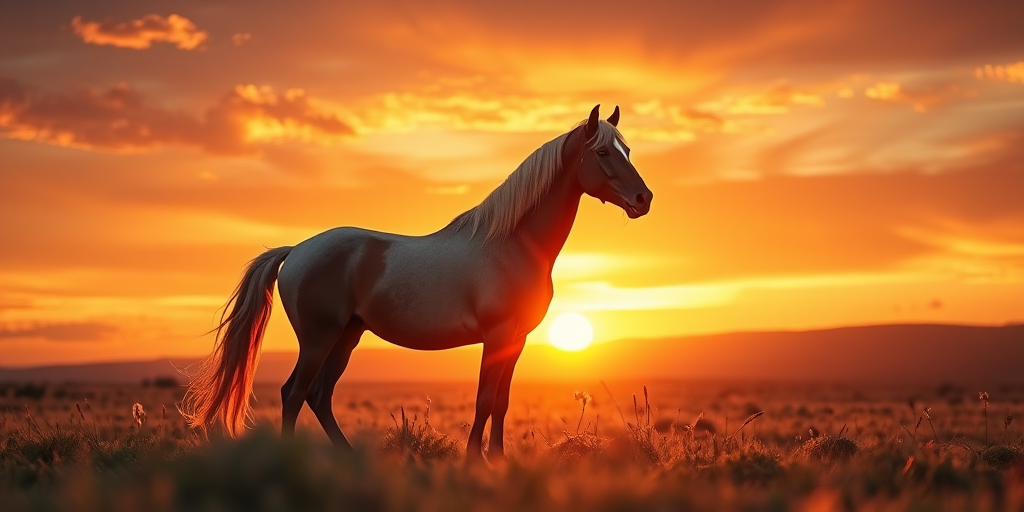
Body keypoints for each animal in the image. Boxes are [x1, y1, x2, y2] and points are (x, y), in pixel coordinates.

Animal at [181, 104, 652, 461]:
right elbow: (484, 400)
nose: (644, 199)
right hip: (319, 338)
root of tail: (296, 250)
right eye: (604, 152)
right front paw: (474, 462)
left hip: (347, 336)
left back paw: (350, 458)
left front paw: (498, 460)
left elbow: (501, 402)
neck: (512, 243)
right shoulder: (497, 336)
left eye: (628, 149)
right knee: (294, 393)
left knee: (318, 395)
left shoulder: (515, 340)